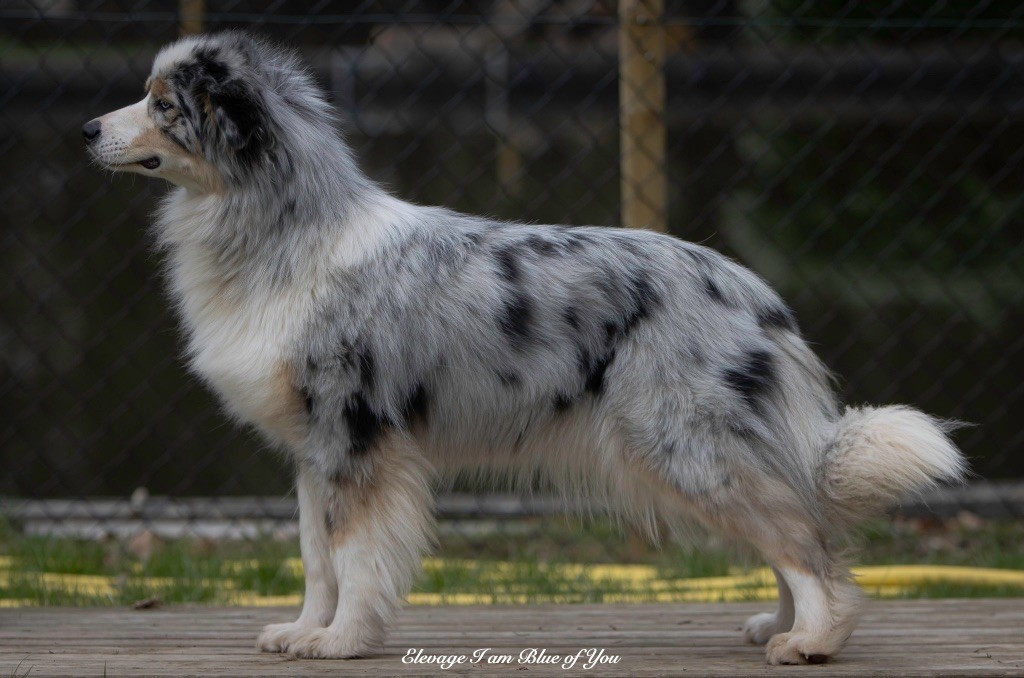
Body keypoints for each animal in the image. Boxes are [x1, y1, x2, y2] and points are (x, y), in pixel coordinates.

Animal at [81, 30, 966, 663]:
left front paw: (341, 641)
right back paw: (776, 625)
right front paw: (304, 630)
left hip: (682, 443)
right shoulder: (314, 449)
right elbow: (315, 555)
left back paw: (813, 638)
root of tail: (755, 291)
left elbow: (355, 556)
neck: (275, 229)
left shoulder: (356, 439)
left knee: (803, 536)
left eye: (162, 103)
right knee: (790, 524)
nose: (86, 127)